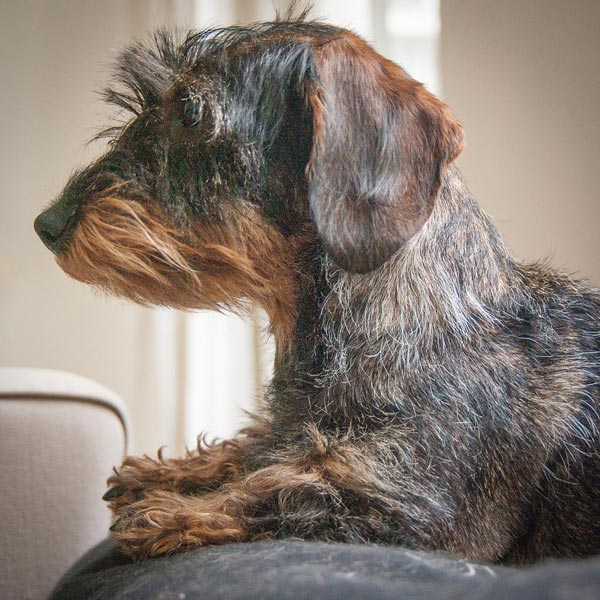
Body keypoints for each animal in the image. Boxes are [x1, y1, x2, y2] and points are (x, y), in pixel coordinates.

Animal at [35, 16, 596, 564]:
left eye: (192, 114)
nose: (47, 224)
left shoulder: (418, 502)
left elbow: (293, 486)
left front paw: (169, 510)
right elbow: (261, 446)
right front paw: (171, 472)